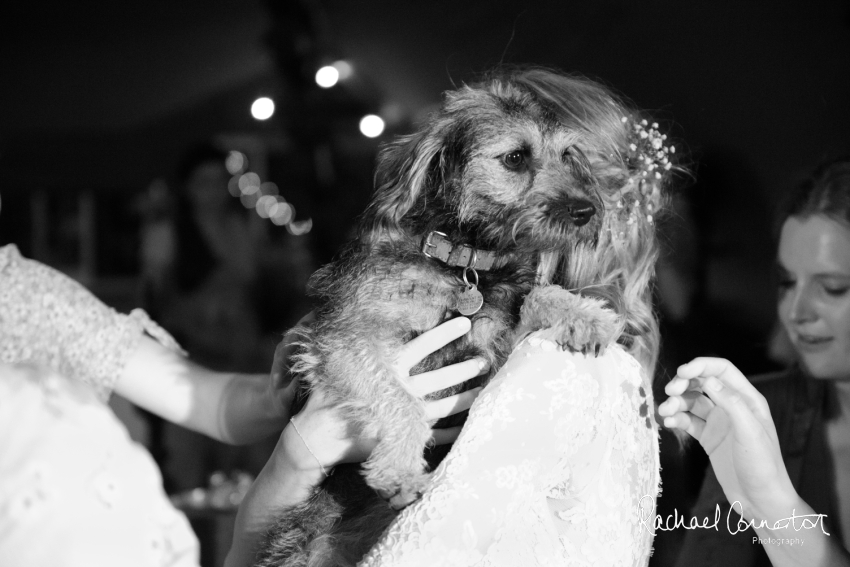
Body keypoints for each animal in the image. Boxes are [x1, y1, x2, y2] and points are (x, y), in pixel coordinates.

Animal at [255, 70, 640, 567]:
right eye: (515, 157)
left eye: (568, 155)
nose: (587, 211)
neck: (462, 262)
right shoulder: (346, 337)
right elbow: (400, 399)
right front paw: (400, 469)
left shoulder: (494, 352)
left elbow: (535, 295)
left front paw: (583, 313)